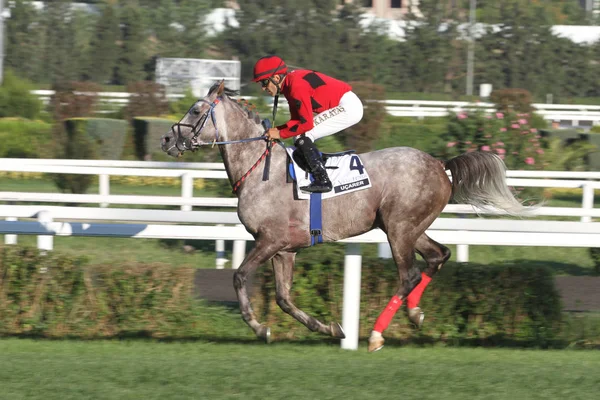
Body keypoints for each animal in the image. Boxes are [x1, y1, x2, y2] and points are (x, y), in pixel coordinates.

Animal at [159, 80, 528, 350]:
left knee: (409, 274)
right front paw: (330, 328)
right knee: (439, 256)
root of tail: (440, 164)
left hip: (399, 227)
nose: (165, 139)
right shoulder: (285, 250)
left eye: (196, 110)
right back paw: (414, 313)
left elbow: (239, 277)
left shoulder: (269, 241)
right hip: (408, 226)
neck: (258, 169)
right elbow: (283, 298)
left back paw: (378, 334)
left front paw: (258, 327)